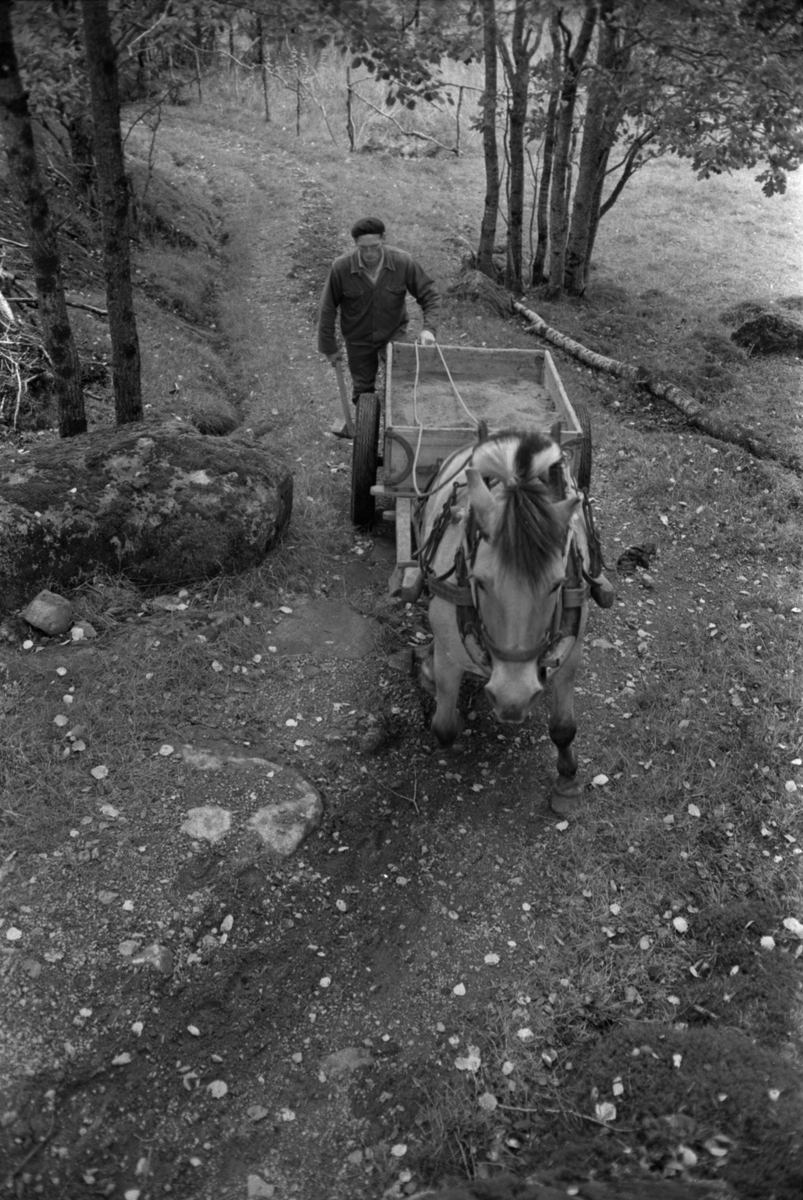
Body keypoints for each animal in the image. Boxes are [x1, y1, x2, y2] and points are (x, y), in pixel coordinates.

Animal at [412, 424, 595, 816]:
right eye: (479, 581)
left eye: (557, 584)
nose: (513, 699)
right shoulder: (450, 650)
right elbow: (444, 726)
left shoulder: (572, 651)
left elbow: (564, 726)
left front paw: (567, 780)